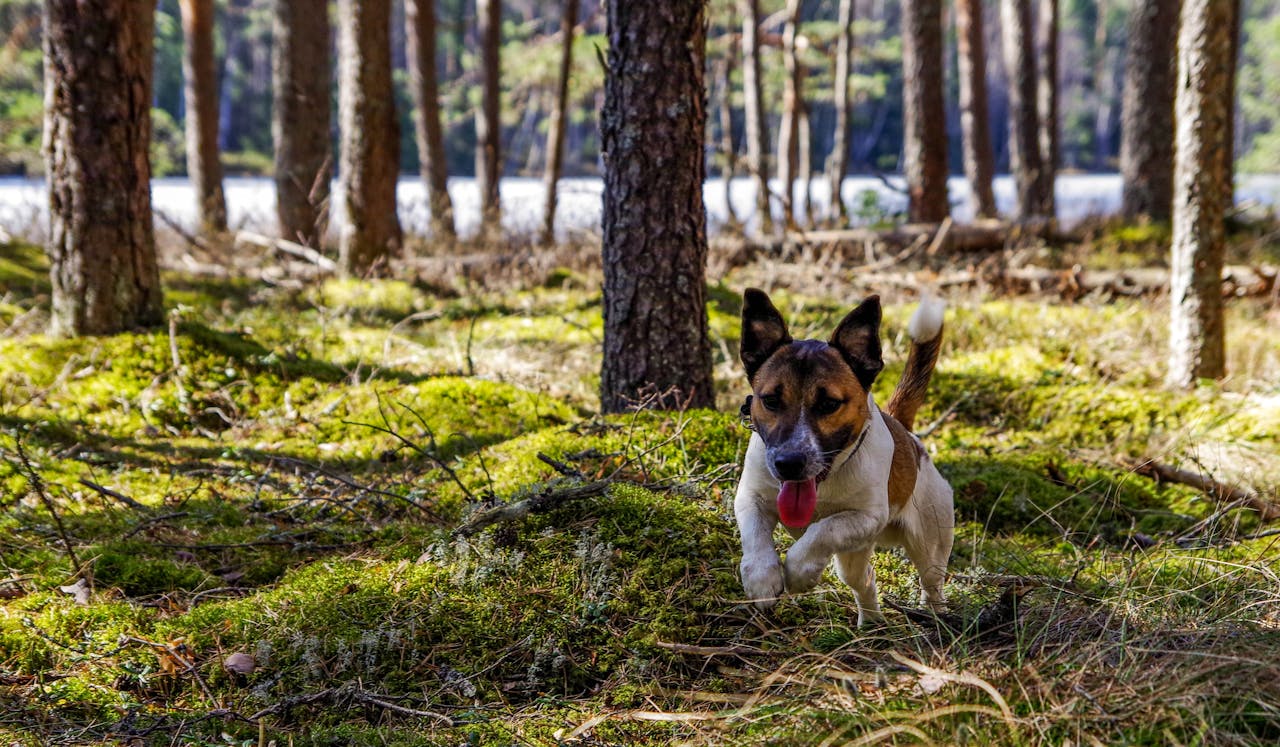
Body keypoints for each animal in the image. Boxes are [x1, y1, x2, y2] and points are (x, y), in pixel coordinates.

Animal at [737, 289, 957, 626]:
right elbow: (754, 533)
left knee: (932, 582)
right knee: (863, 578)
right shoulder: (750, 496)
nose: (789, 464)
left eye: (829, 404)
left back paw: (934, 615)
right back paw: (872, 622)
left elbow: (823, 529)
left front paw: (799, 571)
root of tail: (906, 433)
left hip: (930, 540)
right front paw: (762, 577)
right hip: (856, 557)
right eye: (771, 400)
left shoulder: (865, 517)